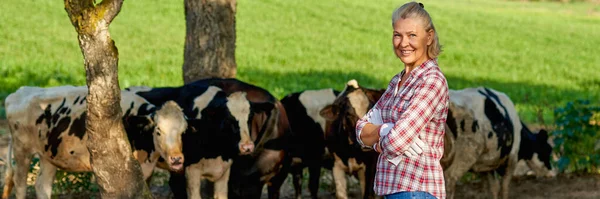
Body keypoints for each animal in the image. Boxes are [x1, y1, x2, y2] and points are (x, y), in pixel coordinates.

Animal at [1, 85, 188, 199]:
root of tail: (19, 92)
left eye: (183, 131)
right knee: (20, 184)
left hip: (48, 155)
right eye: (158, 131)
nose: (177, 159)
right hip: (22, 150)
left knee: (42, 186)